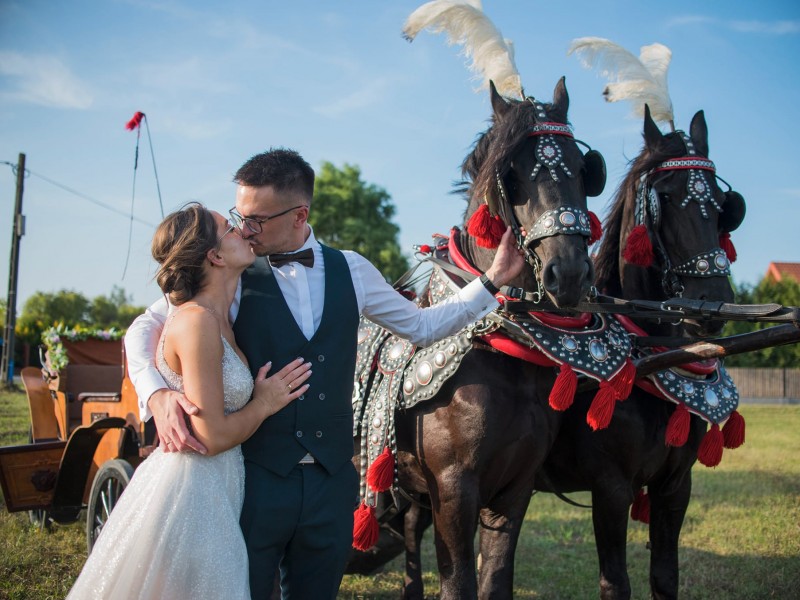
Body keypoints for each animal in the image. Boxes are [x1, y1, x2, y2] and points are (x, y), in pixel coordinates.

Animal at [350, 77, 608, 596]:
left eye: (582, 170)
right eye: (514, 176)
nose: (569, 273)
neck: (500, 357)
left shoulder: (516, 487)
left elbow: (495, 579)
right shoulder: (454, 489)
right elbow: (460, 583)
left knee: (410, 530)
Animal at [536, 108, 748, 600]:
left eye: (722, 205)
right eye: (665, 197)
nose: (712, 303)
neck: (649, 361)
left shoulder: (675, 486)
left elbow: (665, 576)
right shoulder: (611, 489)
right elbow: (616, 583)